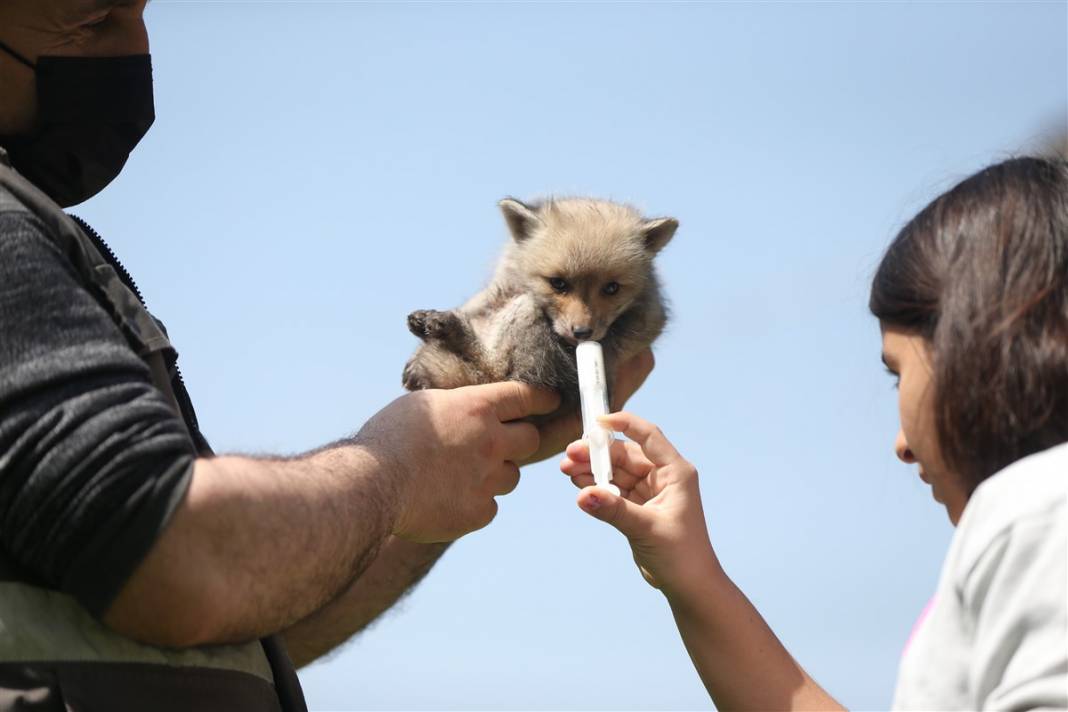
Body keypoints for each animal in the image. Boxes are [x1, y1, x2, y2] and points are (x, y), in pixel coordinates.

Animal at [401, 196, 674, 418]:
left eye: (611, 288)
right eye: (558, 283)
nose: (582, 333)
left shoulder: (651, 316)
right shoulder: (503, 285)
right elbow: (475, 307)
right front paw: (427, 330)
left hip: (525, 316)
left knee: (493, 370)